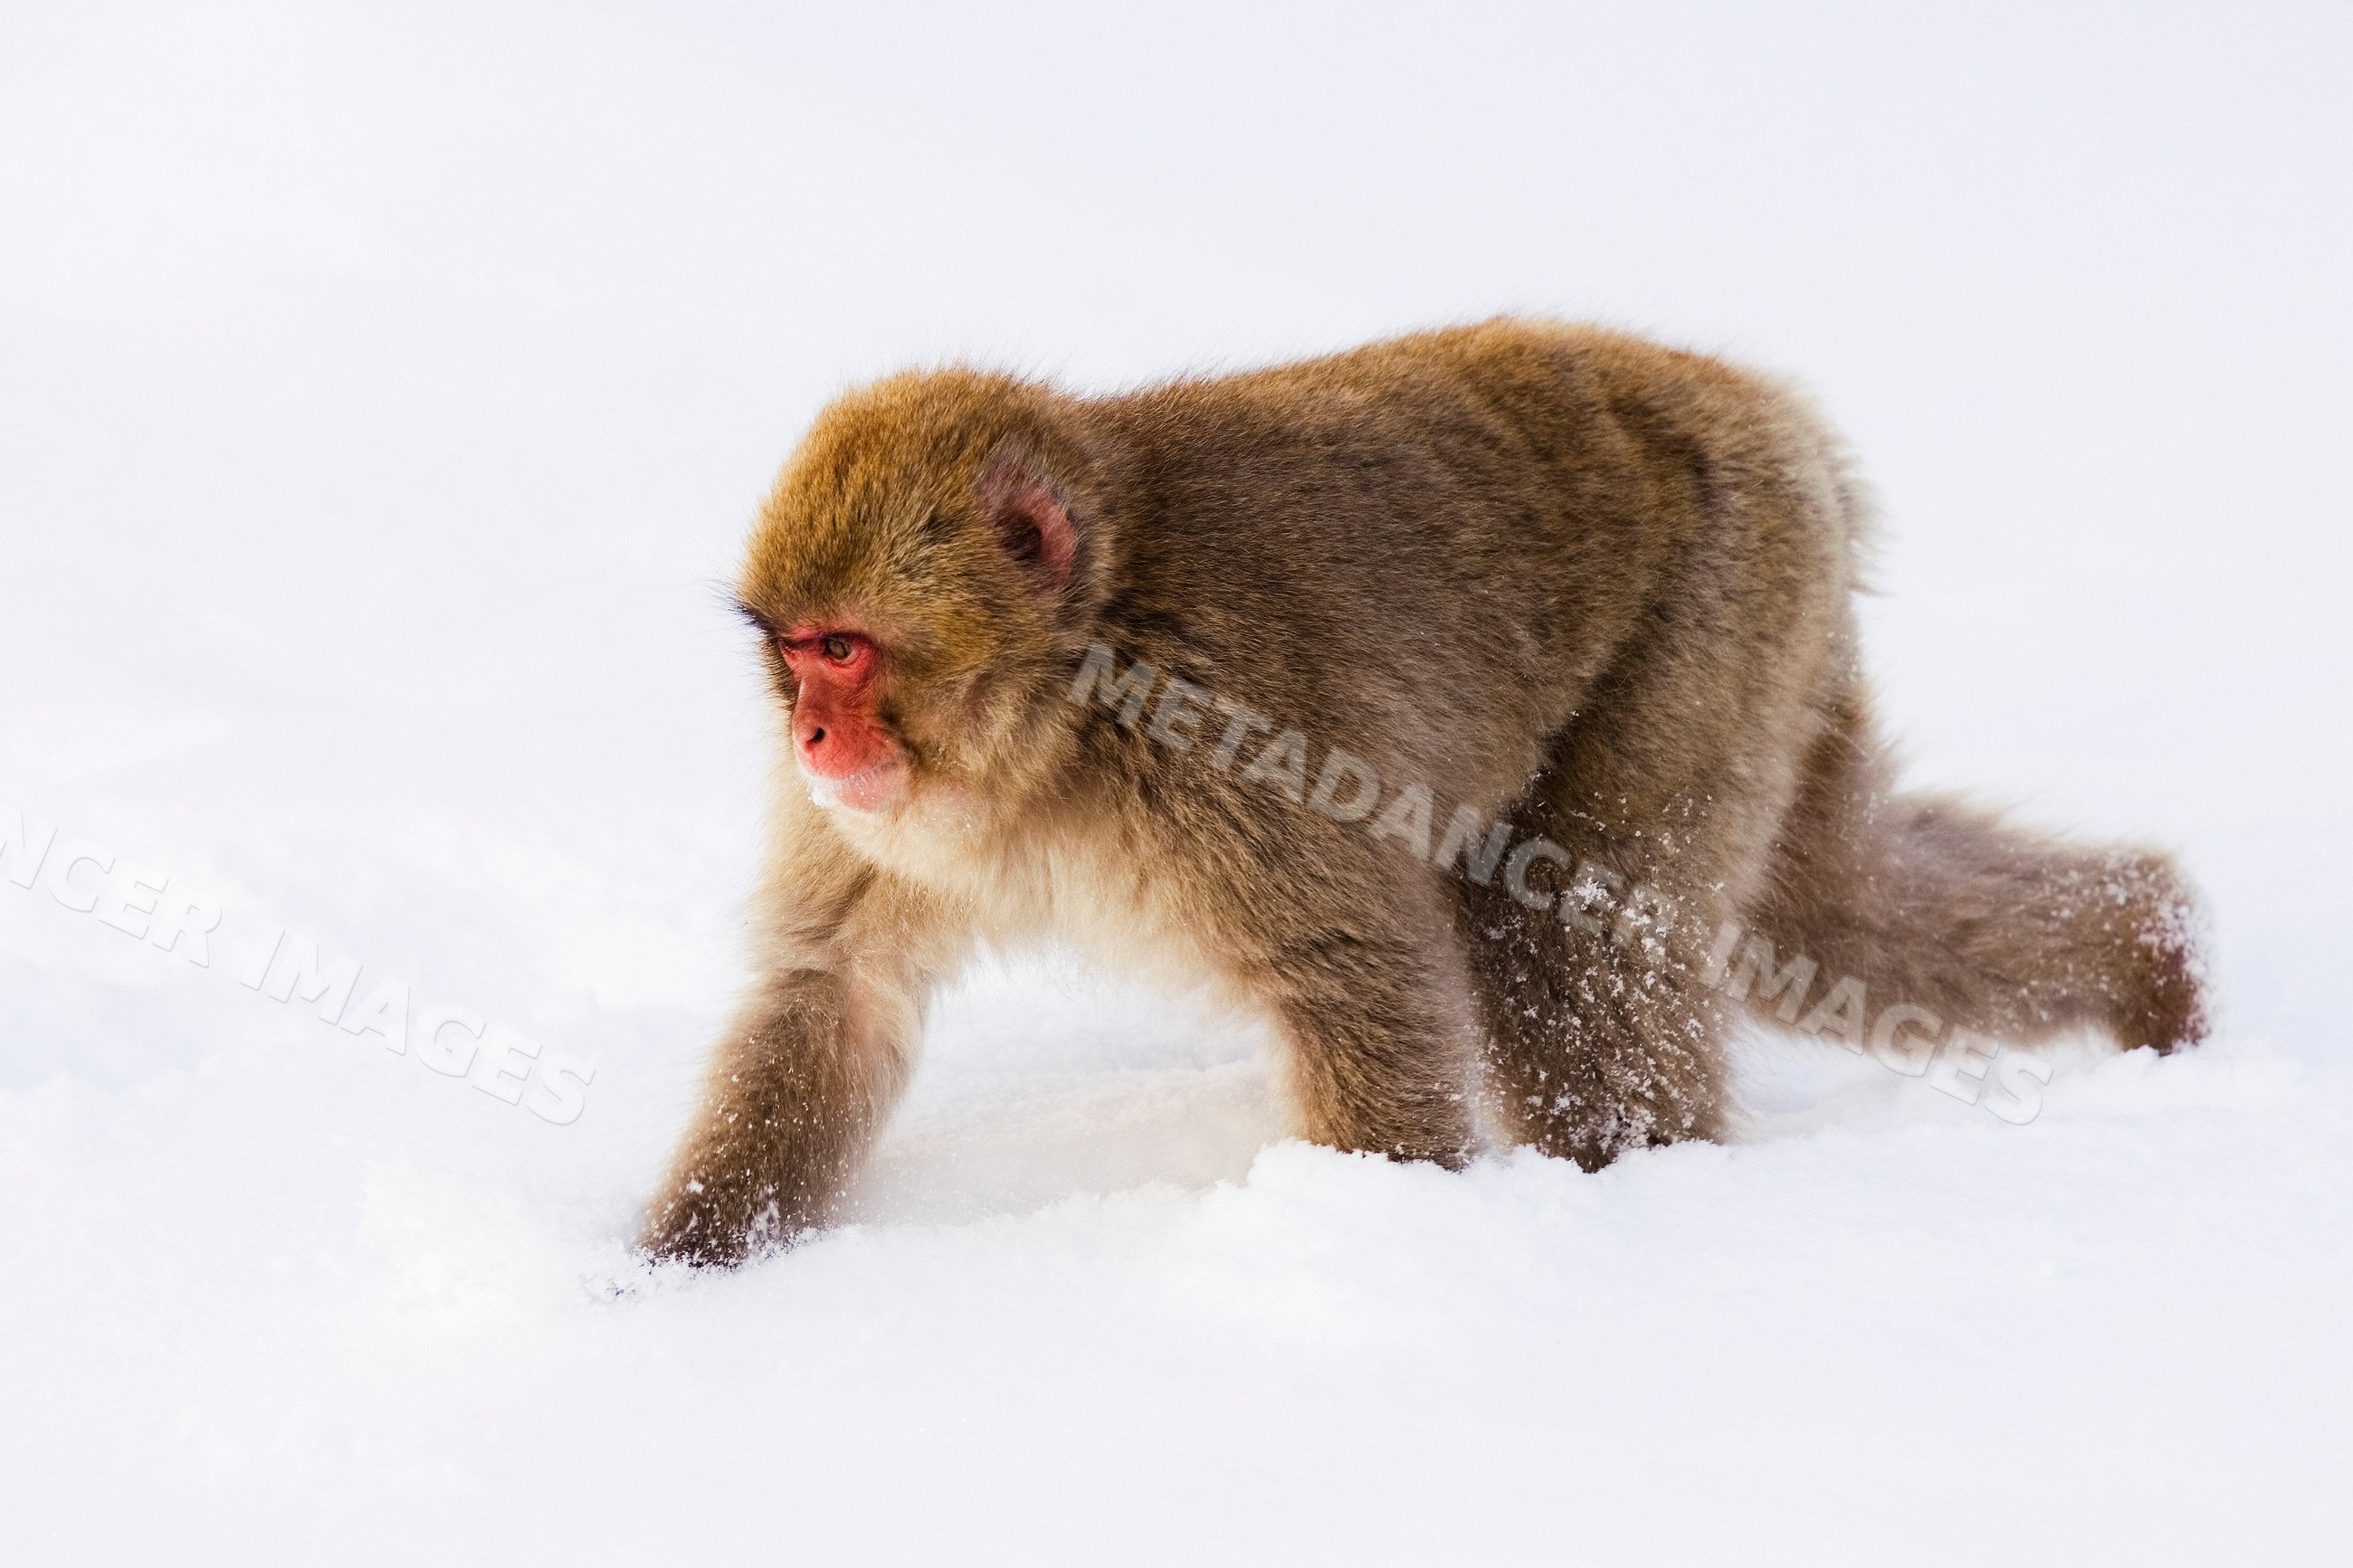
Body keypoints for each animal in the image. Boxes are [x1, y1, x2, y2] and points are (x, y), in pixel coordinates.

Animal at [637, 317, 2206, 1266]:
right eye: (792, 651)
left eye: (847, 649)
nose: (813, 740)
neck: (1074, 701)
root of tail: (1762, 406)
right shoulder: (879, 831)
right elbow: (835, 995)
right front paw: (676, 1276)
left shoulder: (1240, 740)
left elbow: (1356, 981)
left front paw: (1373, 1239)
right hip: (1785, 637)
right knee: (1828, 912)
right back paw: (2151, 951)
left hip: (1720, 605)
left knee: (1571, 933)